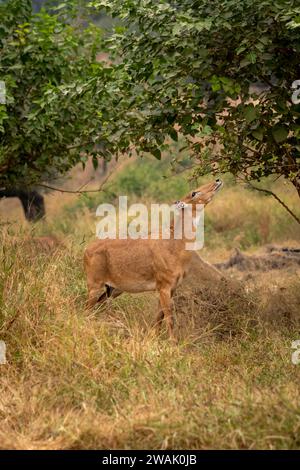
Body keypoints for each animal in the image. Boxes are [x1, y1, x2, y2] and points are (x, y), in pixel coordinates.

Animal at [84, 178, 223, 340]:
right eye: (194, 193)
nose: (217, 180)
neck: (176, 241)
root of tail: (86, 250)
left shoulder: (172, 288)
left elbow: (158, 318)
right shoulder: (164, 286)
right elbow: (169, 319)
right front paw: (173, 342)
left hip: (112, 289)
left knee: (96, 308)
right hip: (95, 285)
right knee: (86, 310)